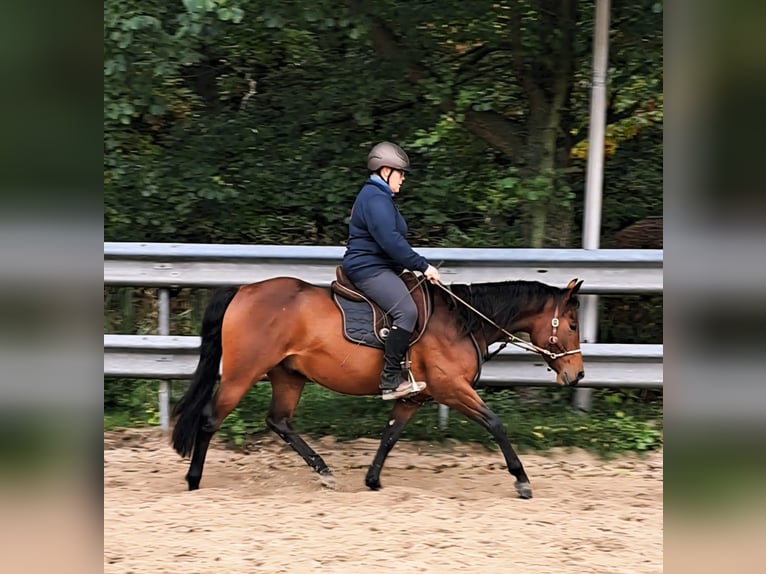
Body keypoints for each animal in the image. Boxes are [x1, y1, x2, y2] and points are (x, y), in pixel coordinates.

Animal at [171, 273, 585, 499]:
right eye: (572, 324)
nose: (578, 375)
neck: (460, 322)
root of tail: (243, 290)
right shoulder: (452, 389)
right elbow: (496, 424)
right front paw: (522, 481)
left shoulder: (415, 397)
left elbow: (389, 434)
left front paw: (372, 480)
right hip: (243, 373)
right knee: (210, 419)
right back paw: (193, 481)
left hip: (288, 376)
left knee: (279, 421)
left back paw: (324, 471)